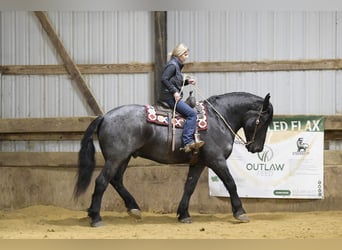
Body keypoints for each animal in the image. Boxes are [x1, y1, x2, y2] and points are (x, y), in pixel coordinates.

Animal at [74, 91, 272, 227]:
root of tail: (104, 116)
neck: (218, 119)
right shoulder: (217, 160)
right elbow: (231, 183)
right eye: (263, 121)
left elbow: (189, 187)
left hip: (123, 158)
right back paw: (96, 217)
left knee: (116, 180)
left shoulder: (199, 163)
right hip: (116, 158)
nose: (257, 148)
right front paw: (240, 212)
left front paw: (183, 214)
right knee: (102, 182)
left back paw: (134, 208)